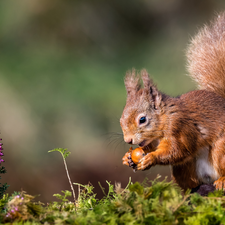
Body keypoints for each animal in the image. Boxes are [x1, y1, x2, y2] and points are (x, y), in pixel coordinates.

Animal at [120, 12, 225, 190]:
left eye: (142, 119)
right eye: (120, 120)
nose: (128, 140)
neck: (164, 118)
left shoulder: (180, 127)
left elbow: (177, 150)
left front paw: (152, 158)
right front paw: (127, 158)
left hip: (222, 149)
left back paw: (222, 180)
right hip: (184, 169)